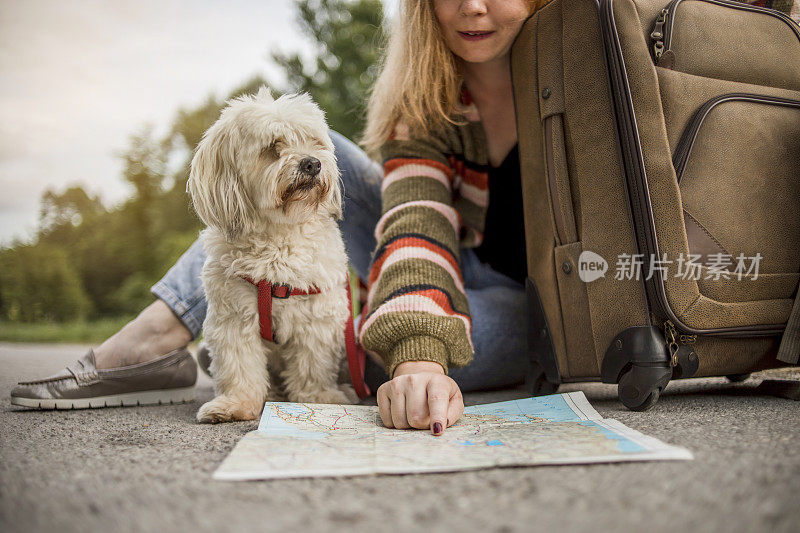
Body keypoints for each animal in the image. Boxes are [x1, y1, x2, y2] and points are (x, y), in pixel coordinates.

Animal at [188, 87, 356, 422]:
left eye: (314, 142)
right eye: (272, 148)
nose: (312, 164)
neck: (279, 240)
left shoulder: (317, 314)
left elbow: (312, 364)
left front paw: (317, 397)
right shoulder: (233, 318)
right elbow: (240, 365)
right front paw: (236, 404)